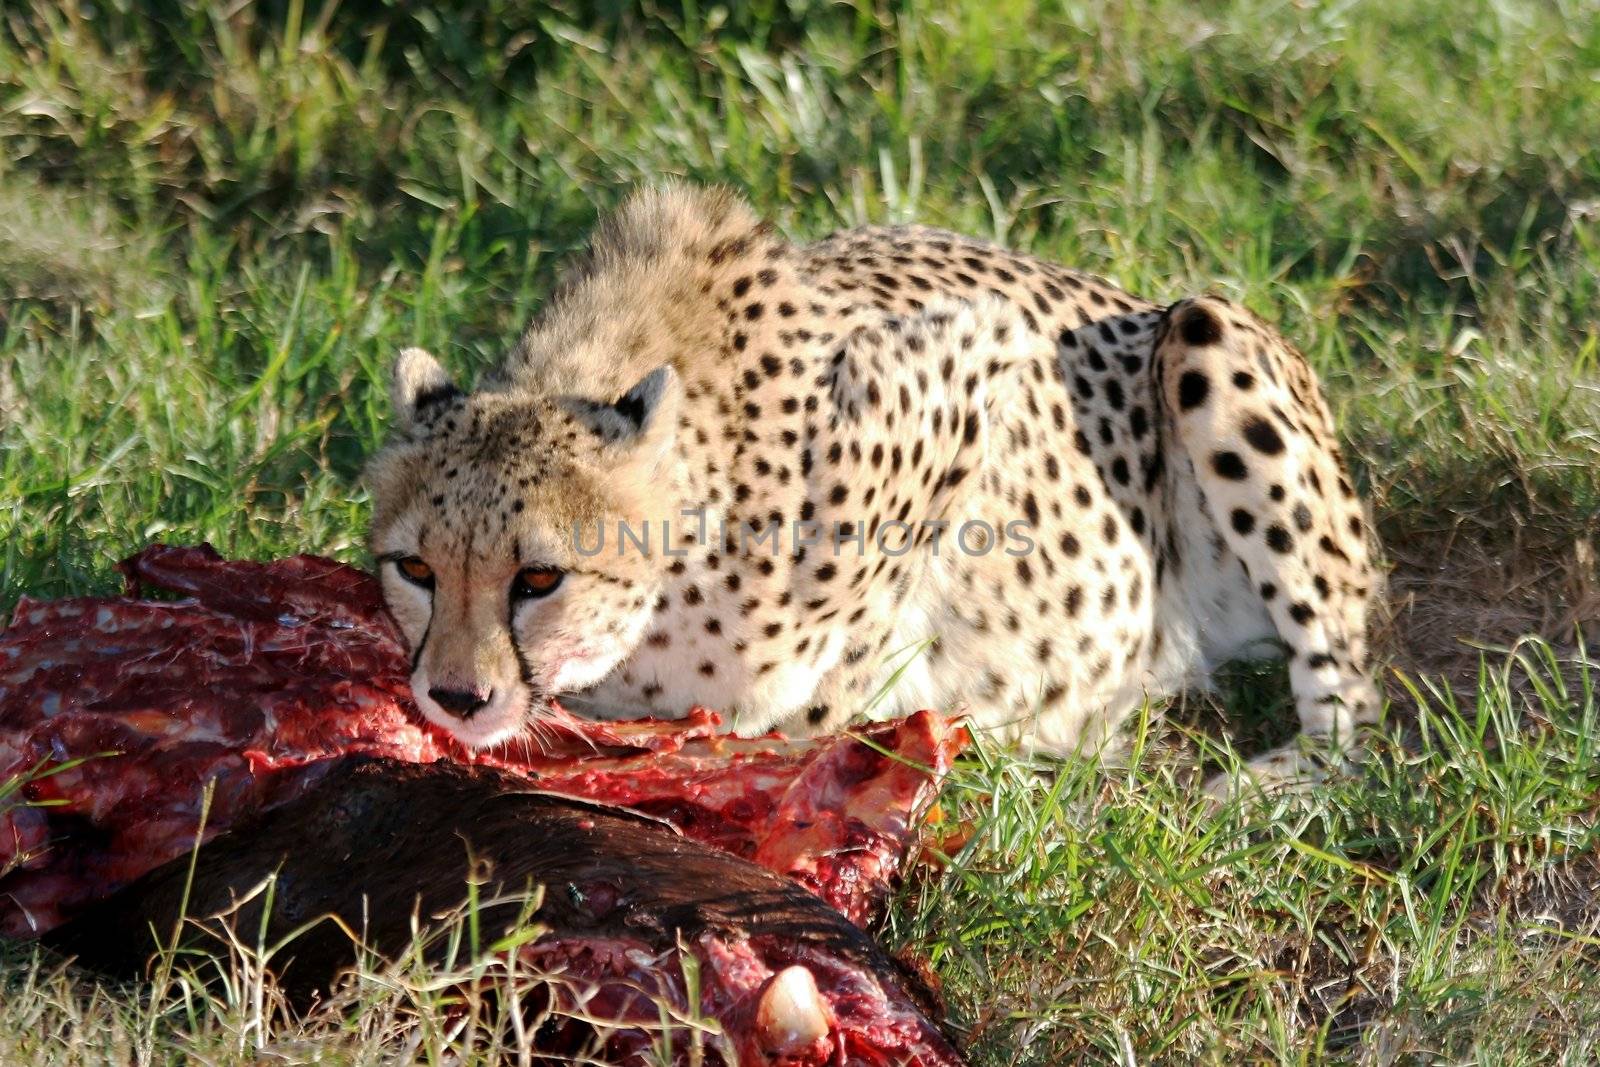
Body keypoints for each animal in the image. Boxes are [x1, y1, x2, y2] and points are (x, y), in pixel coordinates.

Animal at [368, 185, 1382, 793]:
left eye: (539, 577)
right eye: (415, 568)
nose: (455, 697)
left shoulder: (970, 371)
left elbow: (827, 666)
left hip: (1208, 335)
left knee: (1355, 713)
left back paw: (1247, 785)